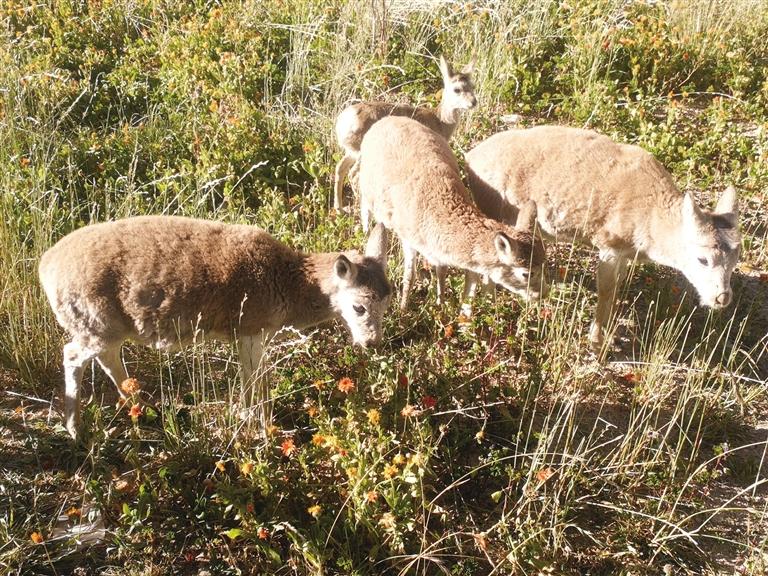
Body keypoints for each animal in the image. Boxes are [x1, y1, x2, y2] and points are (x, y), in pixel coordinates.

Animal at [38, 216, 391, 439]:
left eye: (388, 303)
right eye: (359, 307)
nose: (372, 343)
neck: (289, 285)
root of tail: (44, 266)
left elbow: (254, 380)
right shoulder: (249, 328)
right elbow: (257, 382)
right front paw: (263, 425)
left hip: (108, 330)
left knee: (107, 359)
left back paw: (140, 407)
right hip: (96, 325)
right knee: (72, 354)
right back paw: (75, 428)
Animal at [333, 55, 476, 210]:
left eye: (473, 86)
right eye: (457, 89)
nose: (474, 102)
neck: (440, 122)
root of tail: (341, 122)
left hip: (351, 150)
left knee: (340, 168)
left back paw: (340, 208)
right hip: (361, 150)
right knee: (353, 174)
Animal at [357, 116, 547, 311]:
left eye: (544, 264)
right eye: (526, 273)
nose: (542, 294)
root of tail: (385, 119)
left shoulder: (438, 253)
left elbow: (441, 271)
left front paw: (440, 303)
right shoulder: (408, 238)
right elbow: (410, 274)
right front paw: (403, 308)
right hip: (365, 186)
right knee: (363, 203)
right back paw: (365, 231)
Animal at [465, 125, 741, 348]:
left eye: (736, 259)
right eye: (702, 259)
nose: (722, 298)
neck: (651, 221)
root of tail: (471, 156)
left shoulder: (625, 255)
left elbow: (617, 288)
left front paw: (612, 335)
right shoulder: (609, 246)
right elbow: (606, 291)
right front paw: (597, 342)